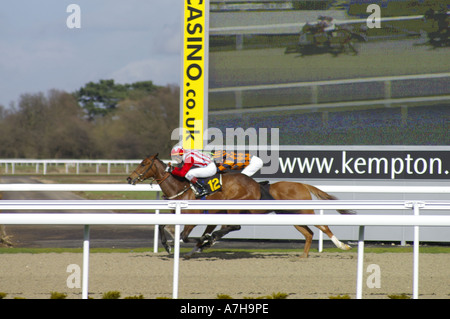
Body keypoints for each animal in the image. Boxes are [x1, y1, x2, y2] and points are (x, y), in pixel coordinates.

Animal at [125, 154, 352, 258]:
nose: (129, 178)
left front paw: (195, 244)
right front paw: (171, 246)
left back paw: (342, 245)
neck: (183, 188)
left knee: (323, 227)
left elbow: (185, 234)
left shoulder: (196, 216)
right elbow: (163, 226)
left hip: (302, 210)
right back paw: (303, 256)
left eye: (144, 164)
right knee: (309, 233)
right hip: (291, 215)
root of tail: (301, 184)